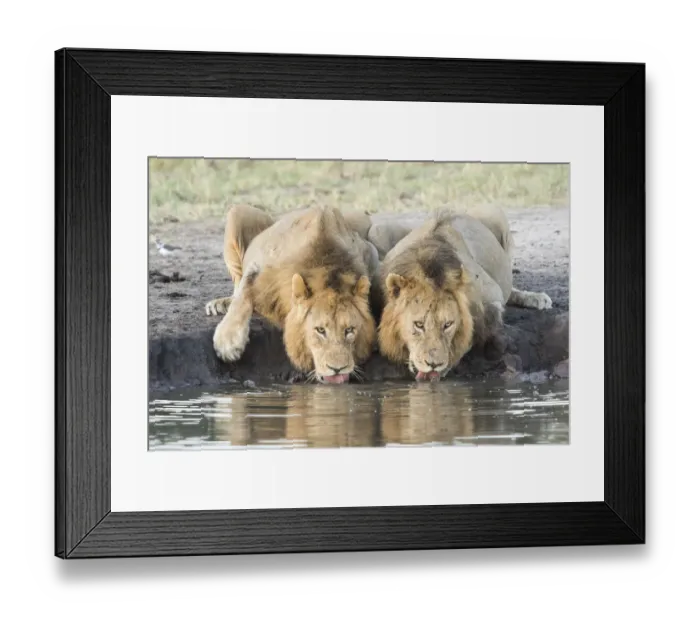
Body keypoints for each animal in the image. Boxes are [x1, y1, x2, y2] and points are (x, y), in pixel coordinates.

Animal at [205, 204, 378, 384]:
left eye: (349, 330)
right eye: (320, 330)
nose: (338, 369)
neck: (326, 264)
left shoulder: (370, 253)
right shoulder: (258, 267)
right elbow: (242, 296)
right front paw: (228, 341)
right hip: (239, 212)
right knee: (237, 283)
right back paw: (222, 303)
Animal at [369, 205, 552, 381]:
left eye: (448, 324)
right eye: (418, 324)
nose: (434, 365)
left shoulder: (492, 295)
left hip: (497, 215)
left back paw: (536, 298)